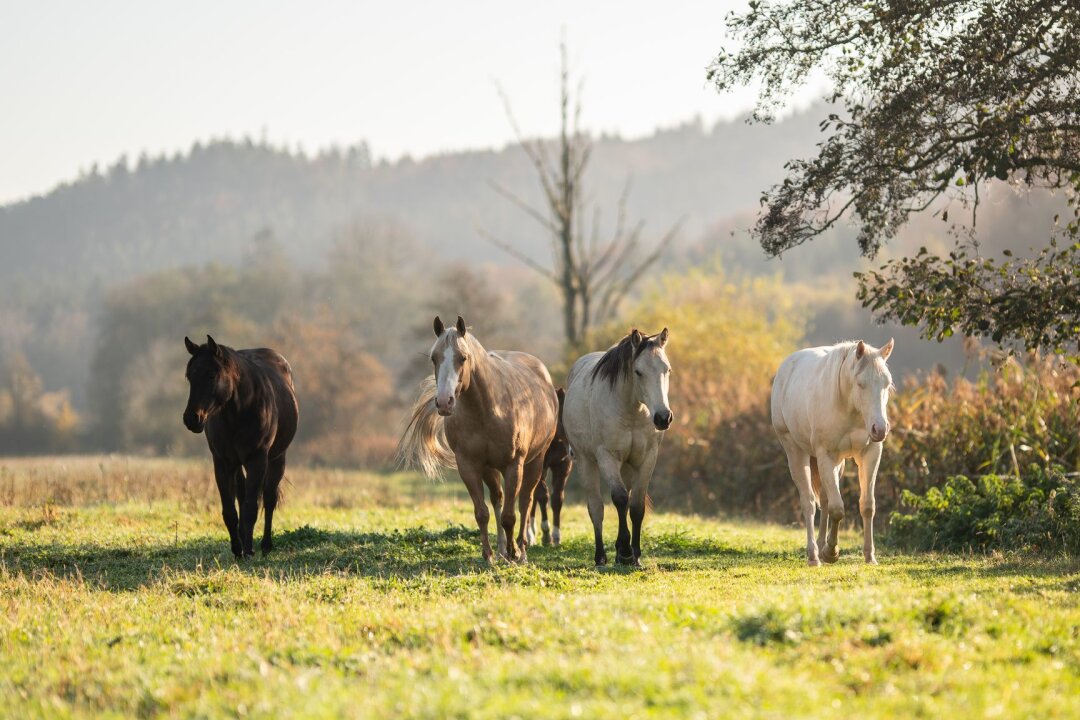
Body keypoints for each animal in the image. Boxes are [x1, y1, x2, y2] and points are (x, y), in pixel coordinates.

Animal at [181, 334, 298, 561]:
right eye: (189, 376)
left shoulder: (257, 459)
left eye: (211, 375)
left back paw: (265, 545)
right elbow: (230, 510)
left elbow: (251, 508)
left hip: (277, 459)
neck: (239, 411)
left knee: (268, 499)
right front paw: (237, 549)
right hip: (238, 465)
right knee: (242, 495)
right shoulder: (223, 462)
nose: (192, 419)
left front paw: (249, 550)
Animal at [397, 315, 557, 561]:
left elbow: (510, 515)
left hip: (534, 461)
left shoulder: (514, 465)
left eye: (463, 357)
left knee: (524, 503)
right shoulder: (470, 465)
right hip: (490, 469)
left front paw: (514, 553)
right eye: (434, 358)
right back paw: (502, 550)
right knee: (498, 498)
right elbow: (482, 512)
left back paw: (521, 550)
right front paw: (489, 555)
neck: (488, 409)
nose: (444, 402)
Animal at [524, 388, 574, 546]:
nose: (574, 451)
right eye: (562, 418)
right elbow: (543, 495)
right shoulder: (540, 466)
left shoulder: (563, 465)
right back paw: (529, 535)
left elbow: (557, 498)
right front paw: (546, 535)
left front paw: (556, 536)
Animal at [561, 328, 669, 569]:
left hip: (627, 466)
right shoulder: (607, 457)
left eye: (667, 369)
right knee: (596, 508)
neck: (632, 410)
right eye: (638, 372)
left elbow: (636, 506)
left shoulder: (647, 459)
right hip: (586, 462)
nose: (663, 417)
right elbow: (619, 499)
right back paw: (600, 556)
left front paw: (634, 555)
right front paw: (626, 553)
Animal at [773, 341, 898, 565]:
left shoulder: (870, 454)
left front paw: (869, 556)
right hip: (796, 451)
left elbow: (867, 505)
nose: (880, 429)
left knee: (824, 499)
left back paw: (821, 546)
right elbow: (838, 509)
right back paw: (814, 556)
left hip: (838, 464)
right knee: (809, 502)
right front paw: (831, 552)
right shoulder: (826, 456)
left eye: (887, 383)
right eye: (860, 383)